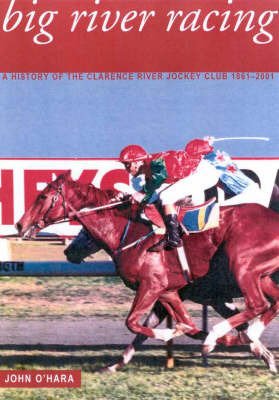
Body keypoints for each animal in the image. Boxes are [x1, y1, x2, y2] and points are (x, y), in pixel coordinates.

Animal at [17, 173, 279, 360]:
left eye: (43, 197)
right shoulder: (169, 291)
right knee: (272, 302)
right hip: (260, 274)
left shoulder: (151, 285)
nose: (20, 225)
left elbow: (133, 322)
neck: (129, 230)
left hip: (242, 266)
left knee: (258, 304)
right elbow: (188, 325)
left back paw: (227, 333)